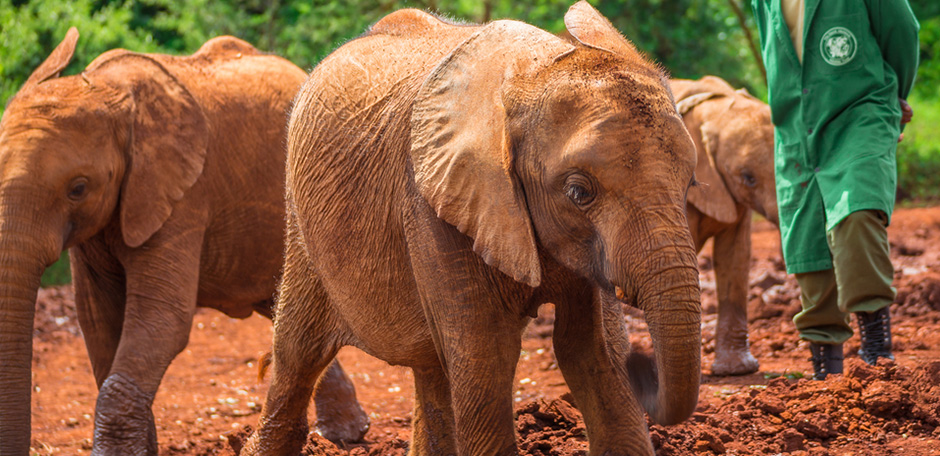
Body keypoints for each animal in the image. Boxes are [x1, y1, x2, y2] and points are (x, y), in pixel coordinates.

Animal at [0, 30, 370, 454]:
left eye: (78, 188)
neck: (111, 94)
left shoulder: (184, 196)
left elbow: (164, 319)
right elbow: (98, 321)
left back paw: (345, 435)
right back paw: (346, 433)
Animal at [246, 3, 700, 456]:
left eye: (691, 183)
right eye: (579, 191)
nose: (643, 365)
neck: (535, 73)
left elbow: (594, 352)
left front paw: (616, 358)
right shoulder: (434, 204)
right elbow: (488, 359)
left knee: (431, 365)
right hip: (301, 225)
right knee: (298, 353)